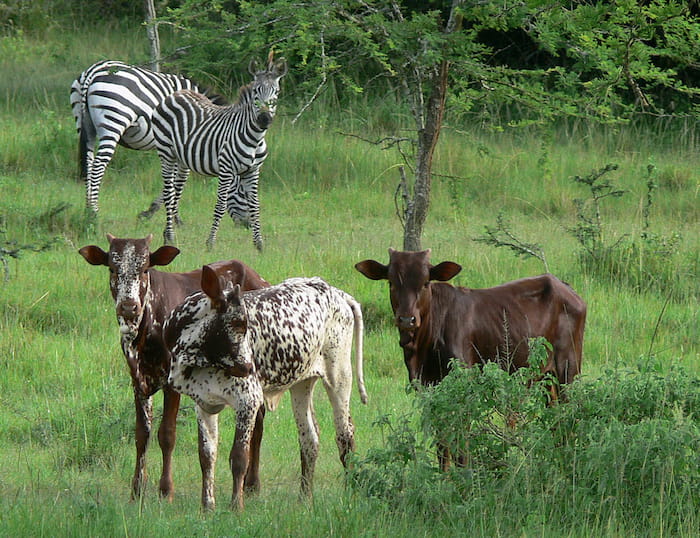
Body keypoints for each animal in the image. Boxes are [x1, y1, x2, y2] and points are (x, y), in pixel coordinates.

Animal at [70, 60, 222, 220]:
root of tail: (94, 70)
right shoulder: (183, 144)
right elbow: (179, 180)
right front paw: (170, 215)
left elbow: (174, 179)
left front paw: (156, 210)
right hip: (114, 121)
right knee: (98, 165)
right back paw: (94, 212)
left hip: (84, 123)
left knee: (88, 162)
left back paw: (87, 209)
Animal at [78, 233, 269, 501]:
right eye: (113, 268)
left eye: (145, 268)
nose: (128, 306)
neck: (145, 332)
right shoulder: (137, 380)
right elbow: (142, 434)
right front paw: (136, 489)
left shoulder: (173, 383)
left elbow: (167, 434)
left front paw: (165, 489)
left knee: (259, 420)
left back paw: (252, 484)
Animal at [151, 53, 287, 251]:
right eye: (256, 92)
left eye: (276, 93)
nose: (264, 119)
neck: (255, 139)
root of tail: (177, 93)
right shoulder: (226, 170)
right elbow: (221, 205)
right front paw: (210, 243)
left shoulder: (253, 171)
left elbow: (255, 205)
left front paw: (259, 244)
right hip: (166, 153)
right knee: (169, 193)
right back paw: (169, 237)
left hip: (182, 159)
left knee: (176, 191)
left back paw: (166, 233)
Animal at [165, 269, 368, 510]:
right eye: (236, 323)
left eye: (245, 324)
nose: (248, 366)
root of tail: (336, 292)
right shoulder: (204, 404)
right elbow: (207, 456)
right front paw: (207, 507)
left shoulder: (248, 401)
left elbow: (239, 457)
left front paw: (236, 506)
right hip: (301, 384)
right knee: (309, 439)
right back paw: (304, 499)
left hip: (339, 376)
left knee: (345, 435)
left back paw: (351, 492)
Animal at [355, 248, 586, 468]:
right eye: (391, 282)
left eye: (425, 282)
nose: (406, 319)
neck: (423, 345)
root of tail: (566, 288)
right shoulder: (428, 388)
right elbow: (442, 444)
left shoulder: (463, 383)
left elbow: (460, 442)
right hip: (546, 378)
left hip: (568, 368)